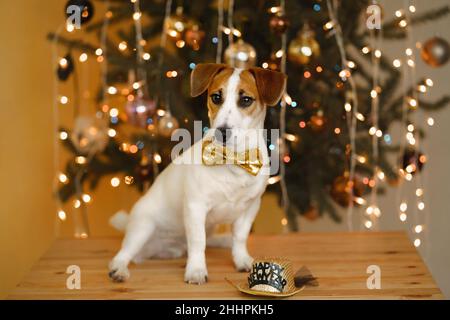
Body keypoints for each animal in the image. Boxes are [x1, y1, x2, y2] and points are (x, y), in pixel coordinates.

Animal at [107, 63, 286, 284]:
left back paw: (221, 240)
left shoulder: (250, 208)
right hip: (143, 227)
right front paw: (196, 270)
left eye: (246, 100)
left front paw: (241, 259)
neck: (232, 159)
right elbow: (198, 242)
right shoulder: (196, 207)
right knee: (124, 253)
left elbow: (240, 237)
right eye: (216, 97)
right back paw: (119, 269)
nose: (222, 131)